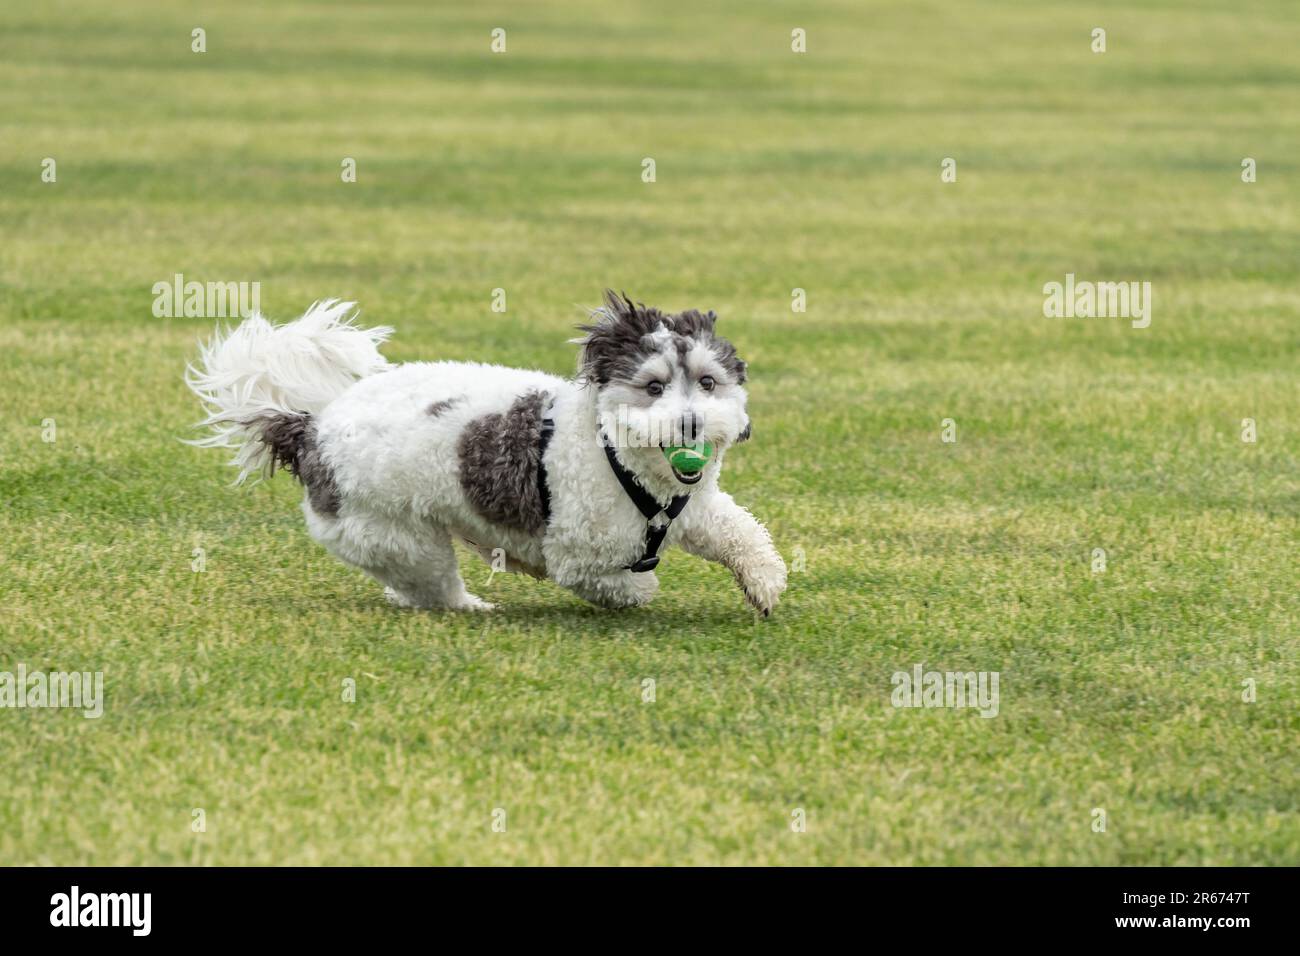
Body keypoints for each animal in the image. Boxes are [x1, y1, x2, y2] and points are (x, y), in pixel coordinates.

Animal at [187, 291, 785, 616]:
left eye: (707, 383)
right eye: (654, 387)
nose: (691, 422)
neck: (623, 463)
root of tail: (311, 430)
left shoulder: (694, 510)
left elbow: (741, 532)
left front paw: (763, 584)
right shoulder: (578, 554)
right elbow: (623, 583)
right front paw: (643, 587)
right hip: (401, 537)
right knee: (433, 587)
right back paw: (472, 605)